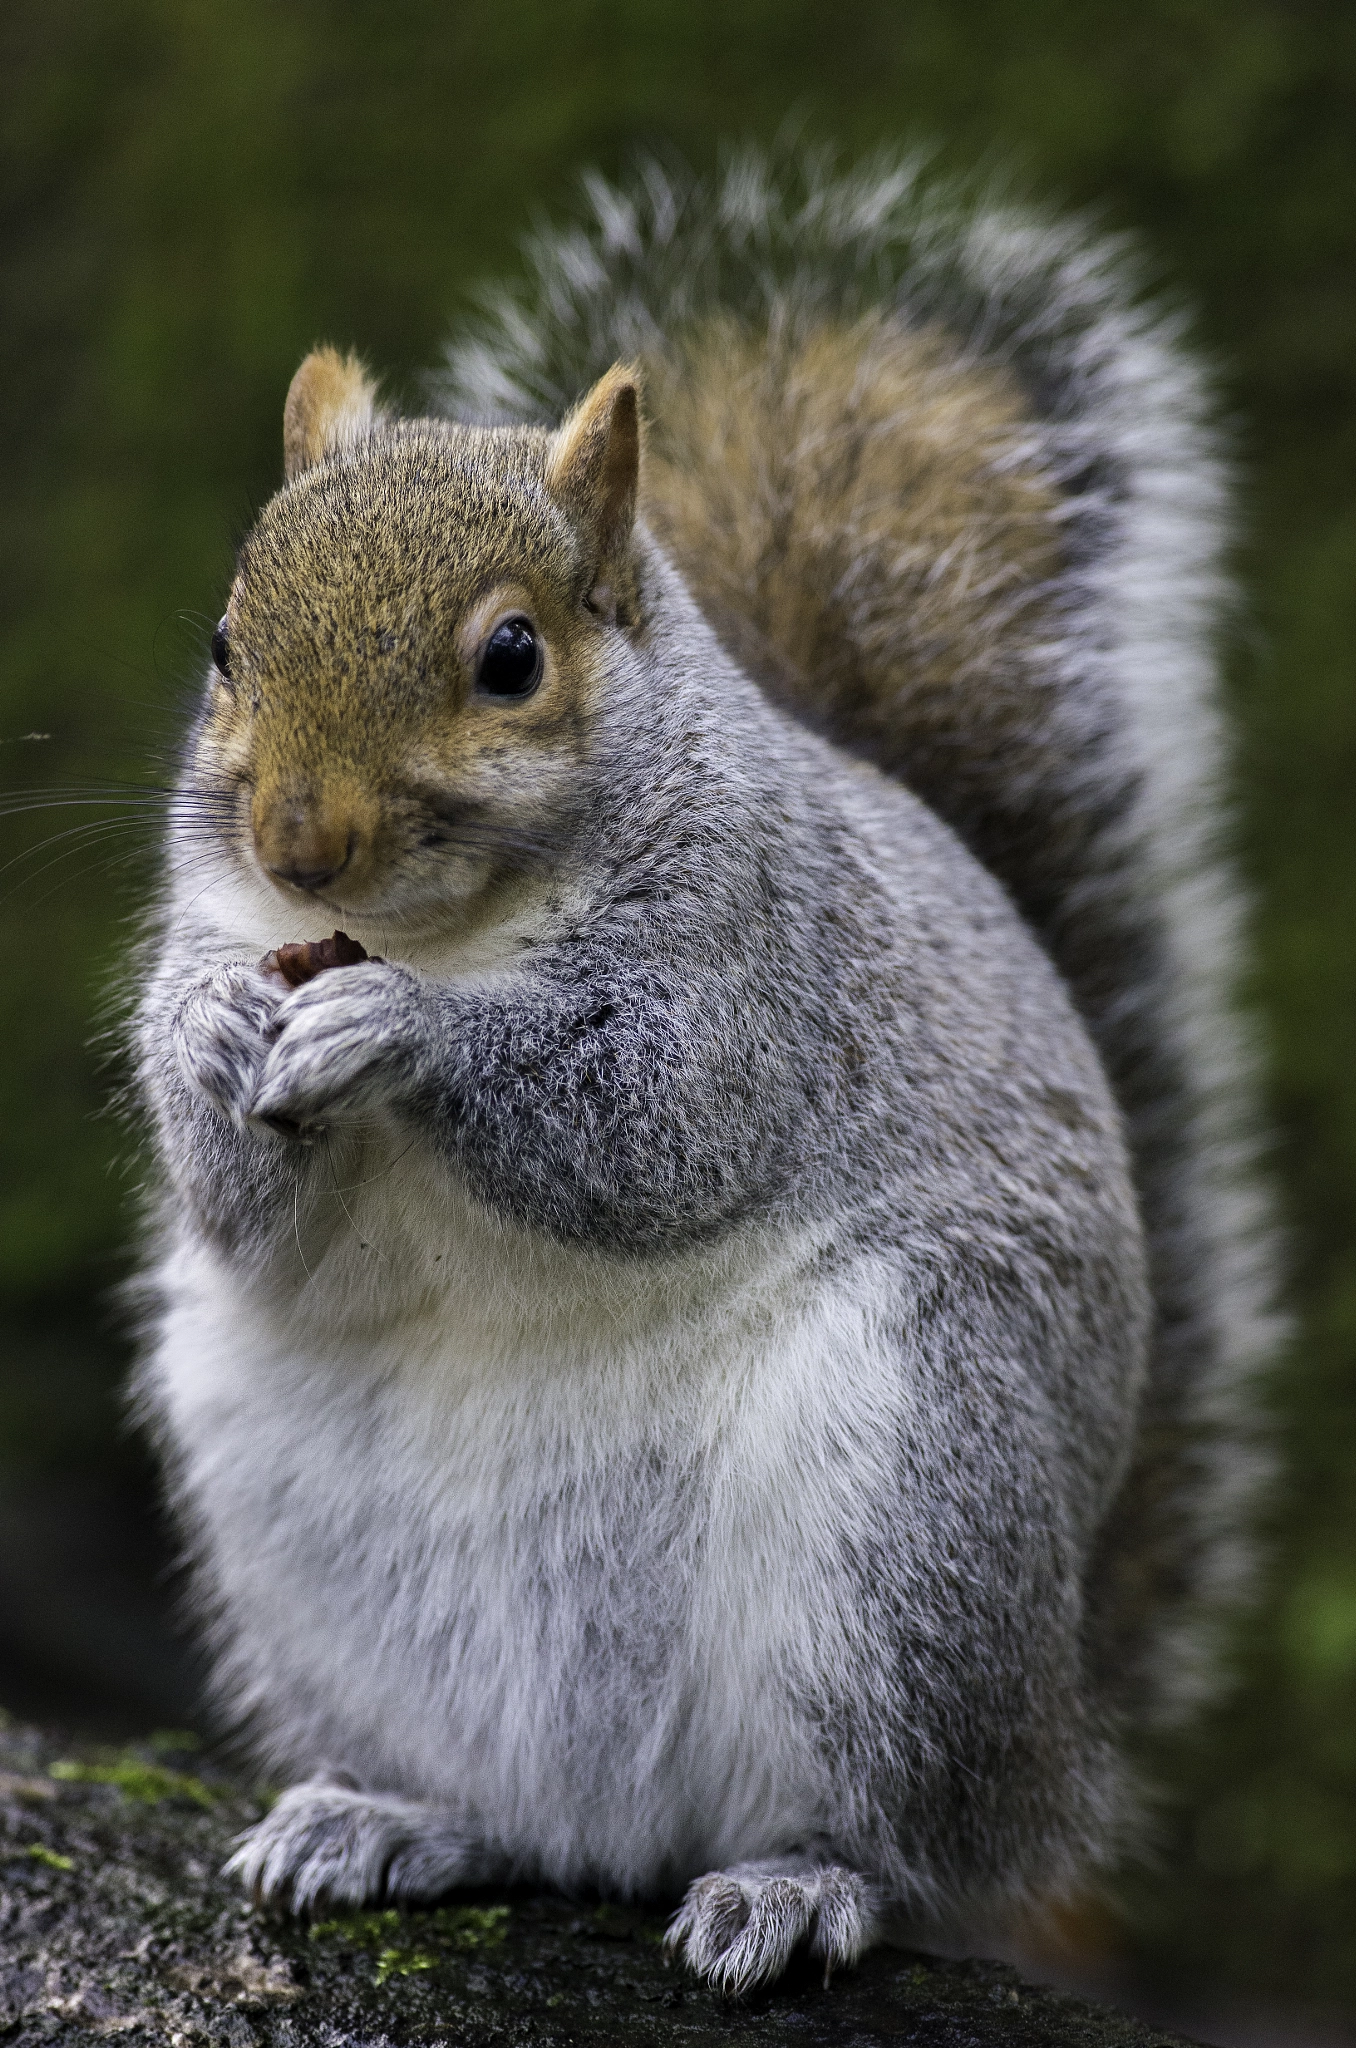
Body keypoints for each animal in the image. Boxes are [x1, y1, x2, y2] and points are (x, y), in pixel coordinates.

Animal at [127, 155, 1278, 1982]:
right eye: (229, 644)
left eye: (511, 656)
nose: (298, 848)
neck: (449, 927)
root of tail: (1052, 1750)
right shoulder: (219, 930)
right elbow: (242, 1199)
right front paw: (216, 1034)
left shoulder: (754, 971)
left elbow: (654, 1130)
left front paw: (404, 1035)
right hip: (298, 1529)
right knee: (523, 1818)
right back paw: (388, 1817)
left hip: (912, 1506)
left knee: (891, 1825)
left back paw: (798, 1882)